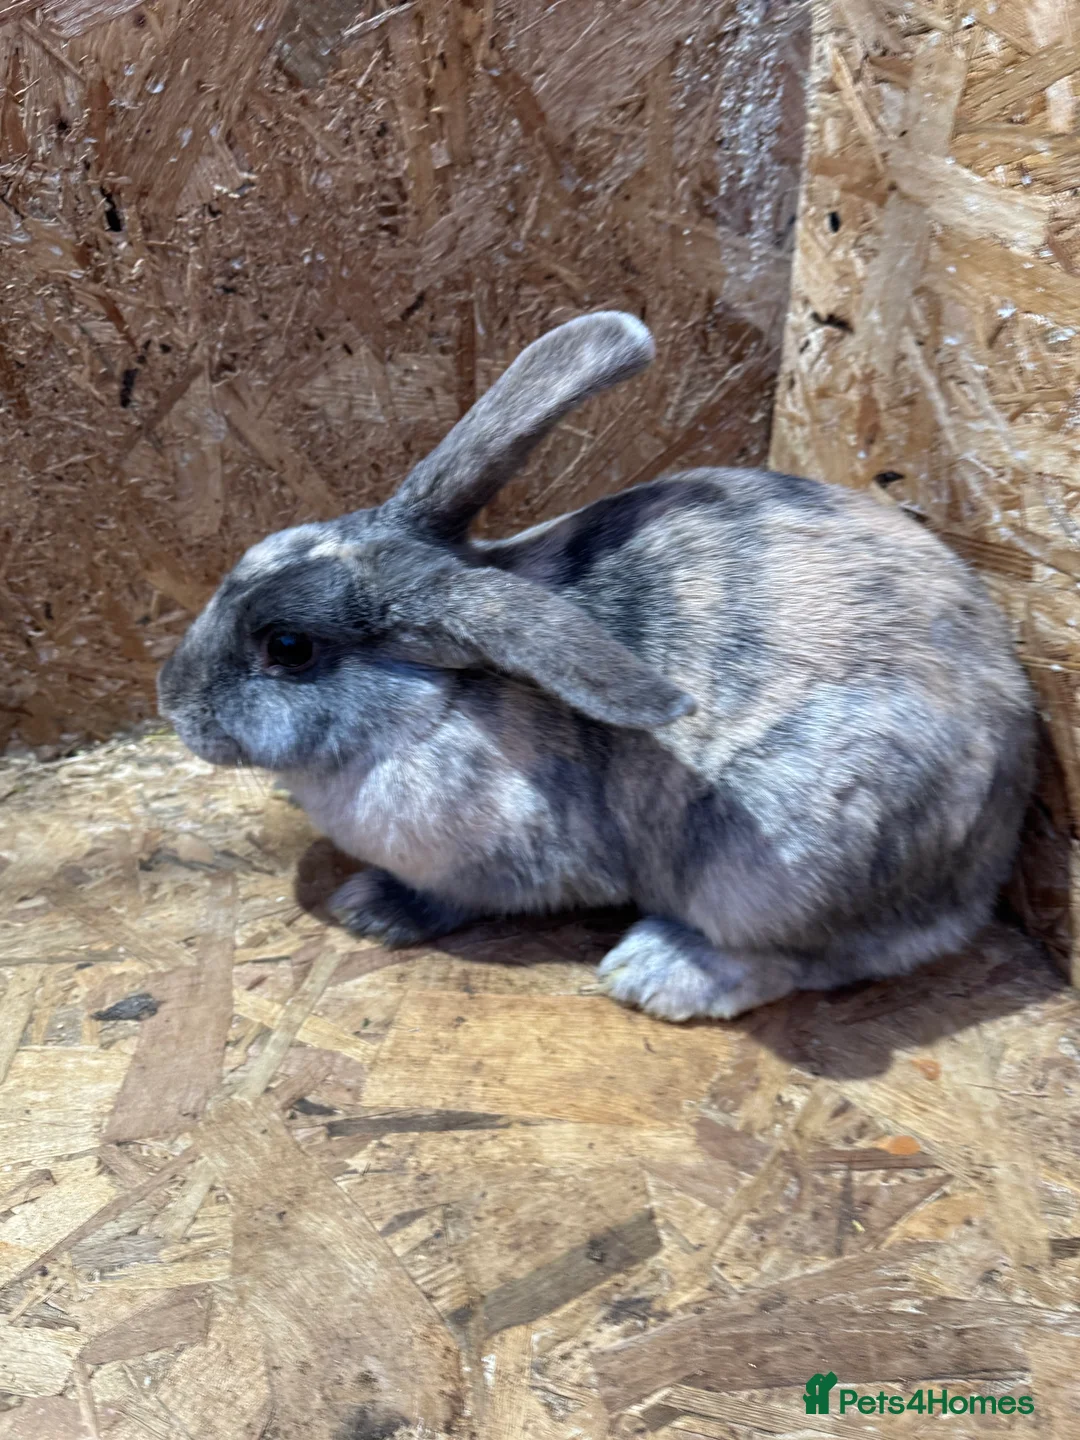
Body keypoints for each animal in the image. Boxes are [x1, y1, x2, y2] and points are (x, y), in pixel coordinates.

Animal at [158, 311, 1036, 1021]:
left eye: (289, 648)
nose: (172, 700)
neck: (432, 706)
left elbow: (452, 898)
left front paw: (372, 907)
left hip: (790, 861)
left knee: (812, 957)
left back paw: (656, 973)